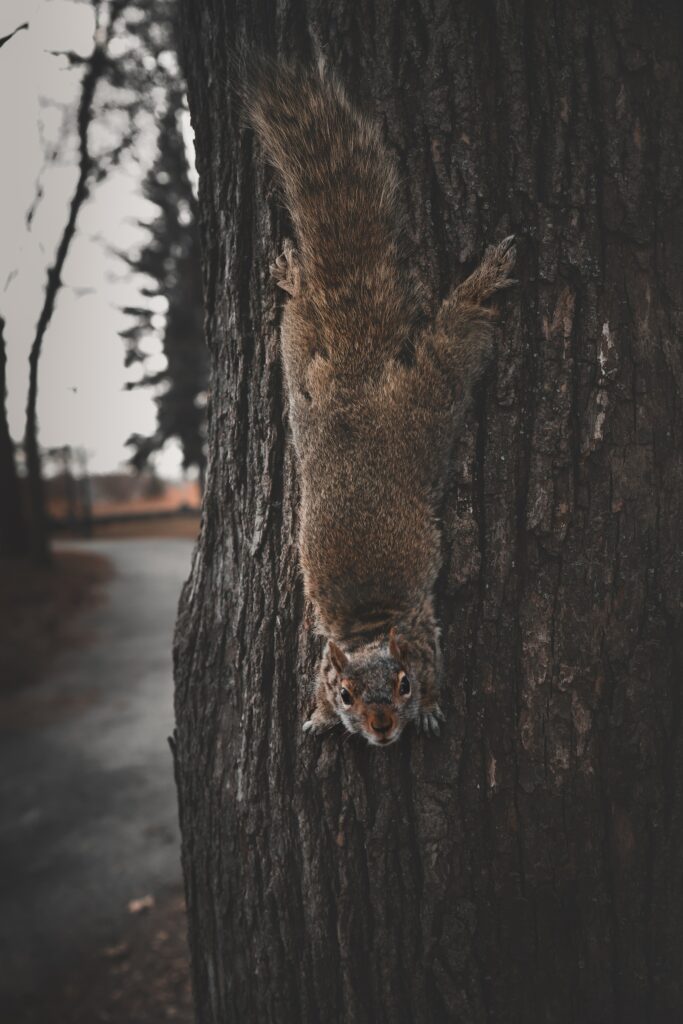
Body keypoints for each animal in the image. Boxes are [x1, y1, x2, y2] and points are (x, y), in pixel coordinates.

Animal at [243, 60, 516, 747]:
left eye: (405, 684)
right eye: (346, 693)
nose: (383, 728)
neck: (369, 626)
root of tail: (355, 375)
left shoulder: (426, 642)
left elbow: (443, 675)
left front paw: (436, 710)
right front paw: (316, 717)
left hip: (428, 398)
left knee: (453, 342)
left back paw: (480, 284)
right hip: (300, 364)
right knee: (301, 315)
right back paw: (296, 278)